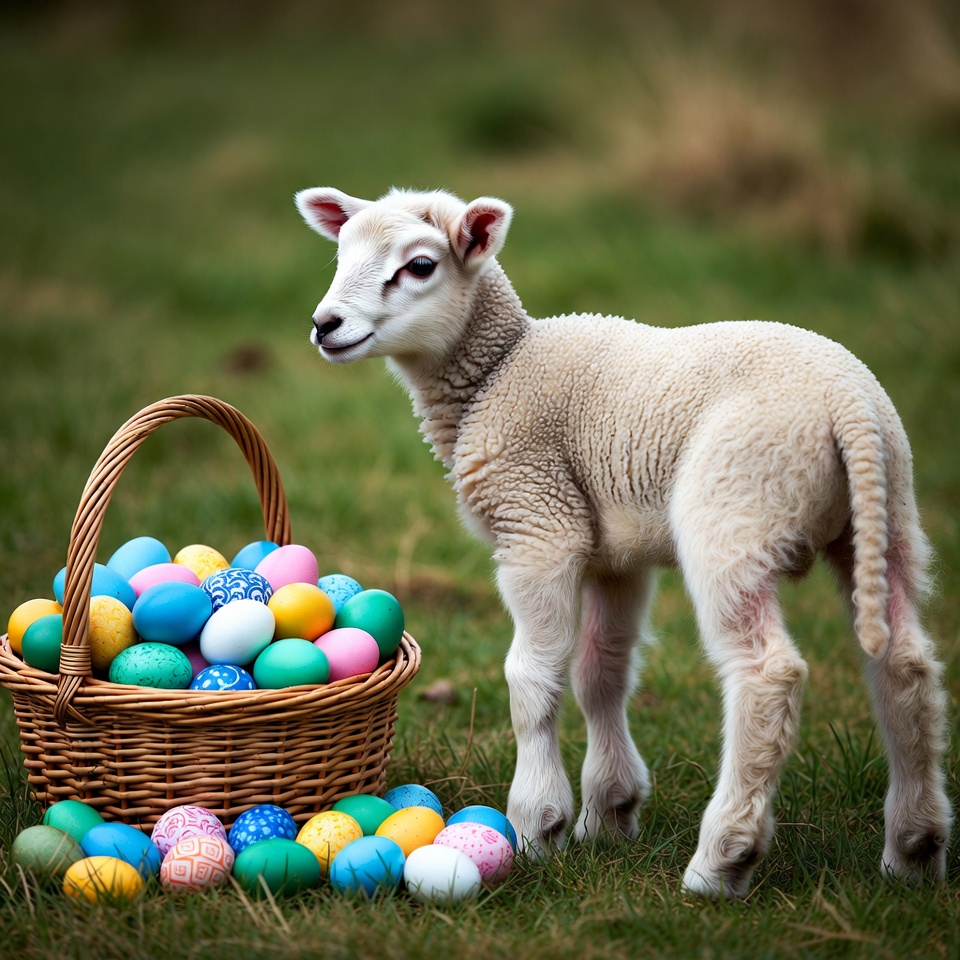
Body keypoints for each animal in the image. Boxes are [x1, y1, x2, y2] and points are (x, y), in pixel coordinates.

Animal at [293, 185, 952, 898]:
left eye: (419, 266)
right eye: (341, 251)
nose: (324, 325)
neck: (498, 369)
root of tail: (847, 404)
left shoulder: (537, 522)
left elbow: (532, 677)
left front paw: (537, 826)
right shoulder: (616, 554)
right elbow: (600, 671)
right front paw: (607, 815)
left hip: (734, 510)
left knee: (768, 675)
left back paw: (721, 861)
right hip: (886, 516)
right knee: (905, 665)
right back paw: (913, 852)